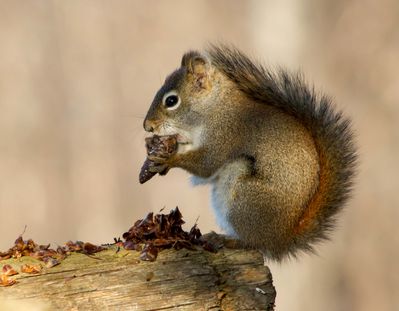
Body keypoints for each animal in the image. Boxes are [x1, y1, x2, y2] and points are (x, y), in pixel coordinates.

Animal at [141, 45, 360, 262]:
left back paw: (229, 240)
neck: (214, 108)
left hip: (244, 194)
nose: (147, 126)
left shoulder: (225, 136)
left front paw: (168, 159)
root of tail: (280, 240)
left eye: (171, 100)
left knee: (253, 243)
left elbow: (206, 164)